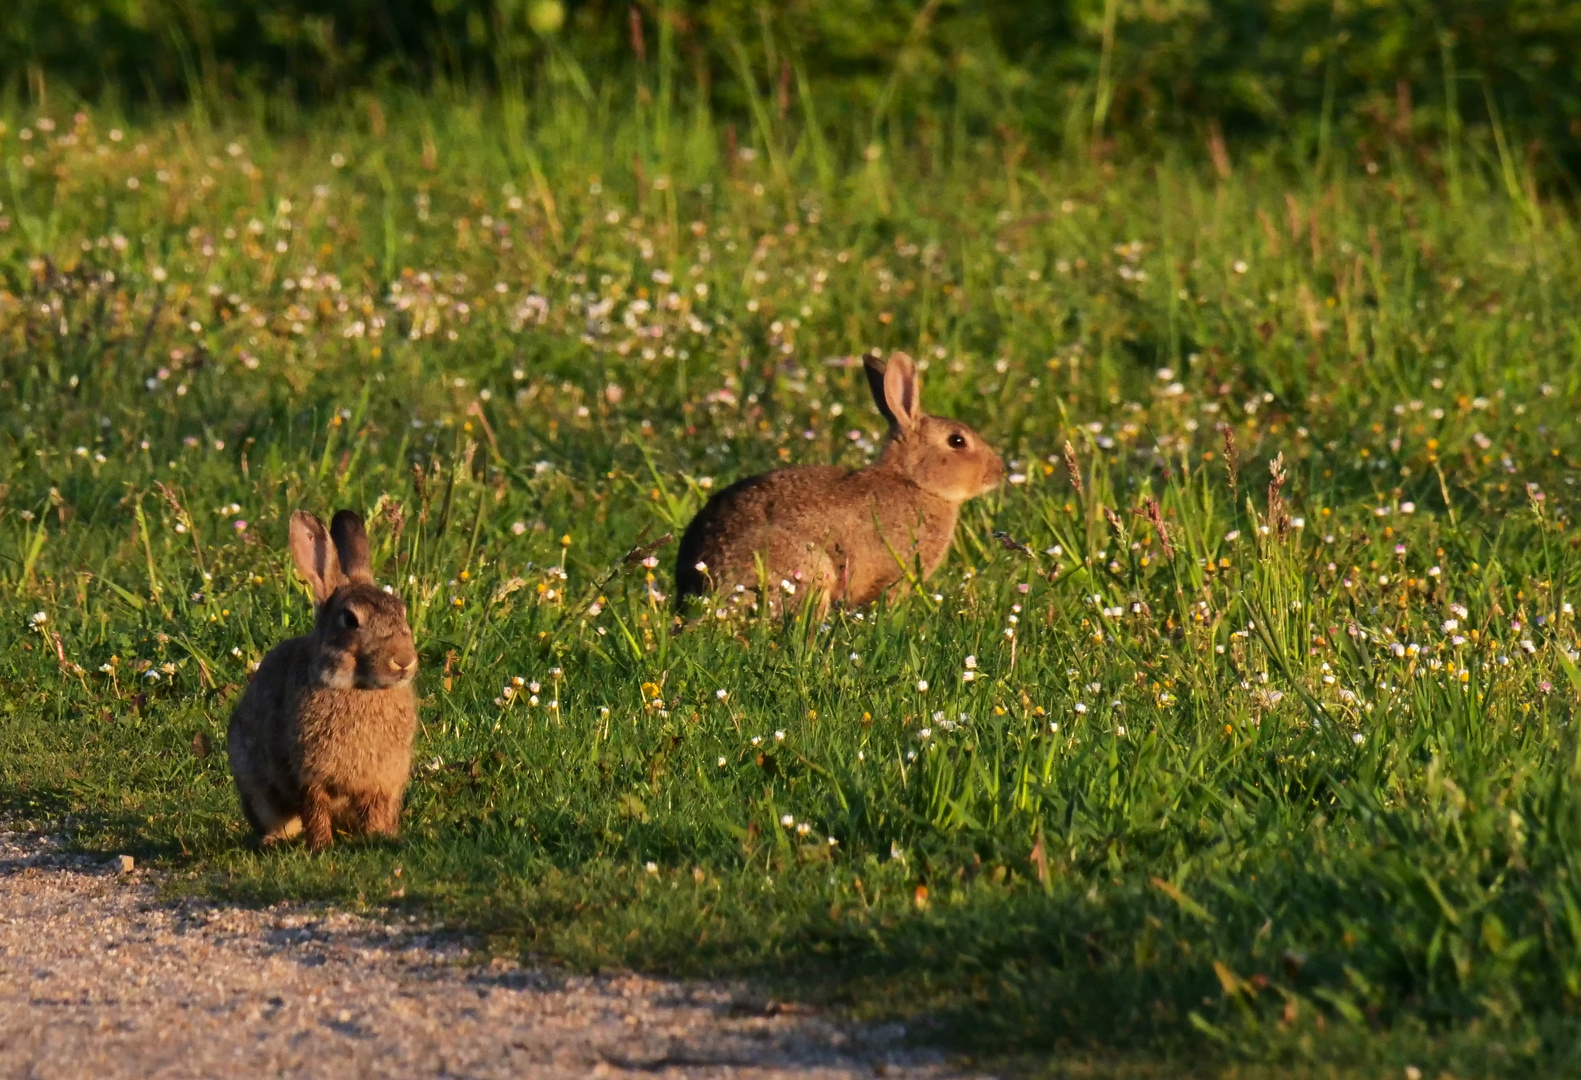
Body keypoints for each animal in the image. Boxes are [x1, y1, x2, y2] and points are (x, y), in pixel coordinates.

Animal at [227, 509, 420, 853]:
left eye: (401, 610)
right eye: (350, 620)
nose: (403, 660)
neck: (357, 687)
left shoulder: (383, 781)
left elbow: (375, 810)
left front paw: (379, 838)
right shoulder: (307, 776)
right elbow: (314, 810)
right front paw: (320, 846)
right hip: (256, 787)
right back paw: (273, 840)